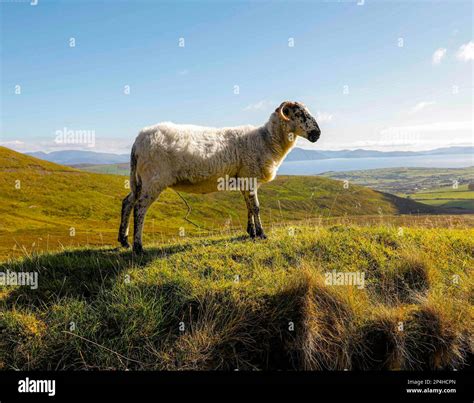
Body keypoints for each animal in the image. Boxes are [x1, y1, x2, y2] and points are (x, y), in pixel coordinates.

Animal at [118, 101, 320, 252]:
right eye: (300, 114)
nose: (317, 134)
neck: (266, 140)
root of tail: (138, 141)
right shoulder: (250, 175)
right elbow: (256, 207)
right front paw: (262, 234)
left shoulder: (245, 178)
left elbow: (248, 206)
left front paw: (251, 232)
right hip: (154, 179)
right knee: (139, 208)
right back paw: (138, 247)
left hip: (140, 180)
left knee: (128, 202)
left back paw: (124, 240)